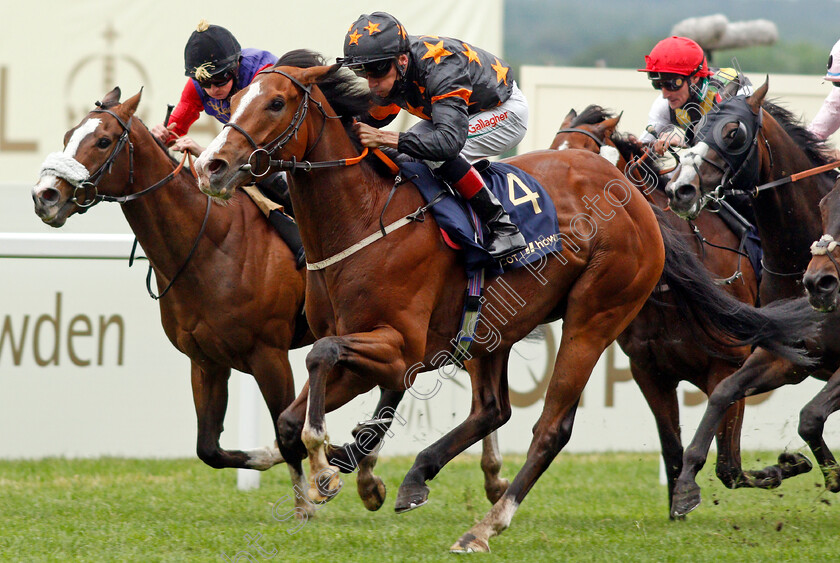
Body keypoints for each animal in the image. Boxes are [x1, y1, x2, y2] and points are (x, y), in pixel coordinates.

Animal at [30, 89, 318, 520]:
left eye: (103, 141)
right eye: (68, 135)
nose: (44, 195)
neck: (212, 245)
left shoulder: (270, 354)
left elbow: (286, 431)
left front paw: (304, 507)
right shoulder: (205, 361)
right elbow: (209, 449)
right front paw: (271, 457)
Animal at [552, 107, 808, 516]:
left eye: (583, 163)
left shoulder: (729, 366)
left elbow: (729, 465)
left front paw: (787, 464)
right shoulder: (650, 370)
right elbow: (674, 448)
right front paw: (679, 503)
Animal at [664, 80, 840, 520]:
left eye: (733, 133)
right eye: (694, 132)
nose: (680, 189)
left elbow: (810, 415)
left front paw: (827, 473)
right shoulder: (787, 355)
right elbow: (724, 391)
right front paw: (686, 485)